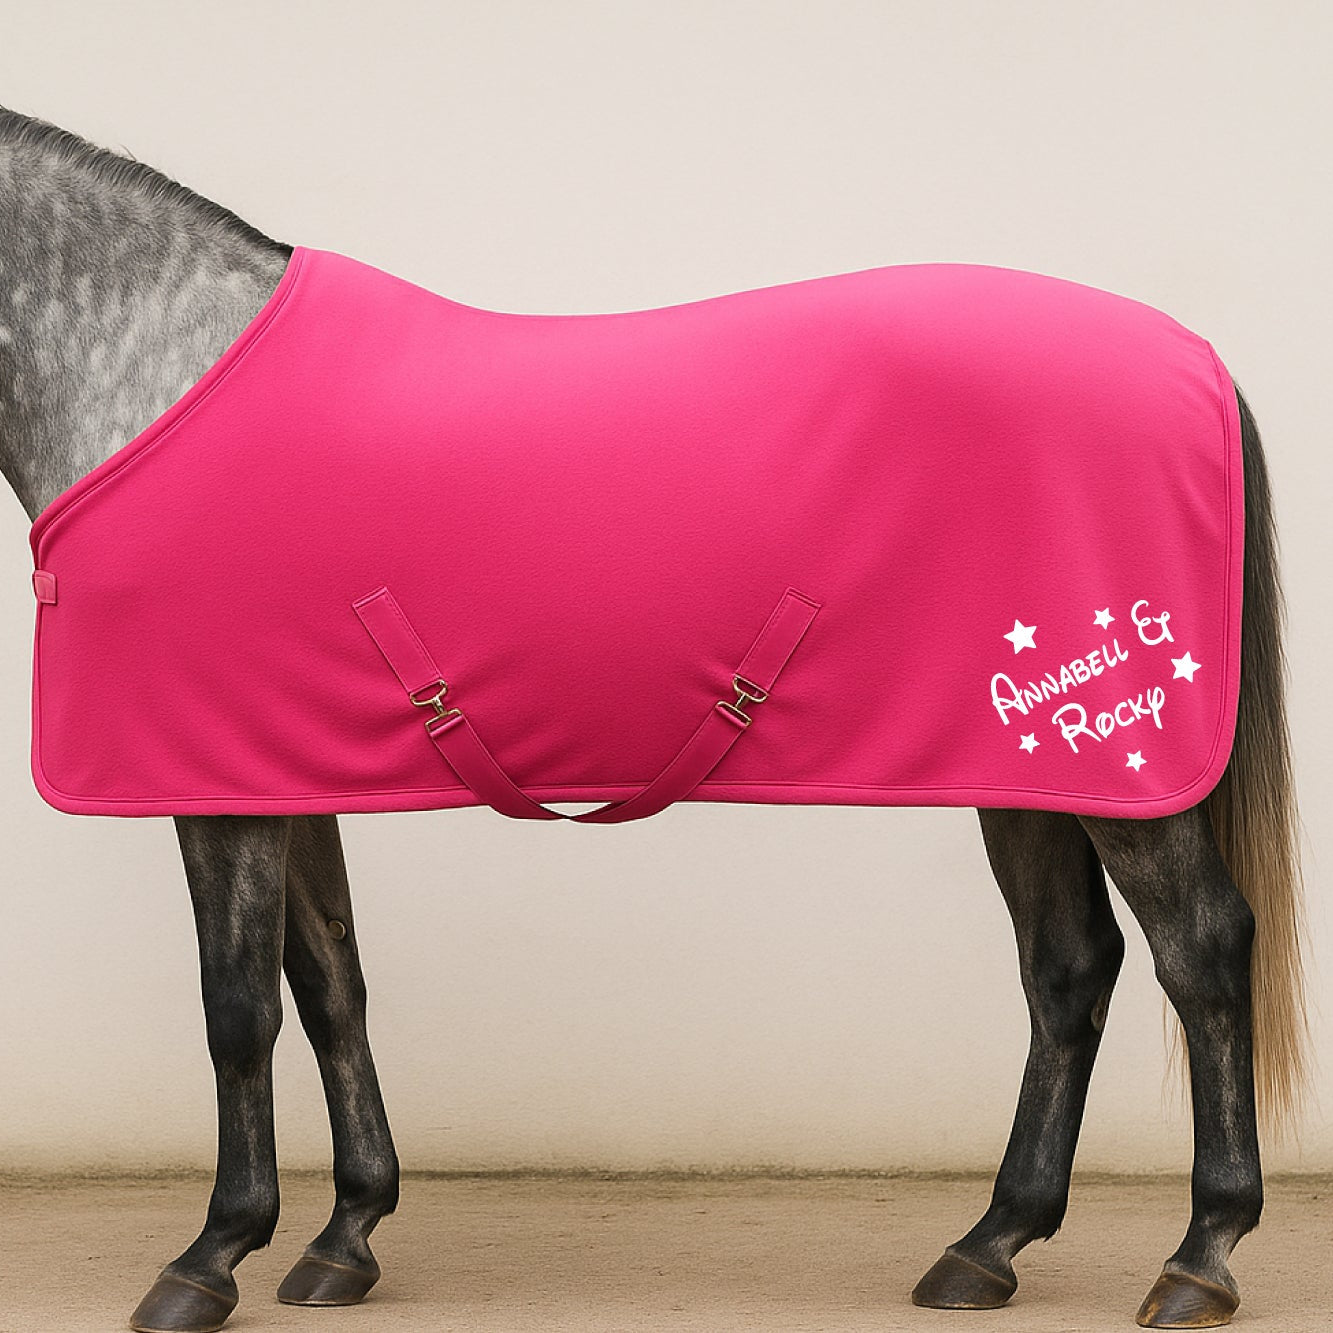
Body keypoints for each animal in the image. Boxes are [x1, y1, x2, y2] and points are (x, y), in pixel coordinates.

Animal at [0, 105, 1307, 1333]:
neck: (158, 371)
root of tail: (1193, 357)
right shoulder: (279, 768)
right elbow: (330, 984)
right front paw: (344, 1237)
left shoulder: (218, 788)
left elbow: (238, 1008)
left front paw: (210, 1255)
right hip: (1028, 766)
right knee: (1067, 966)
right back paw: (988, 1245)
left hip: (1119, 760)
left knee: (1199, 948)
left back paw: (1199, 1255)